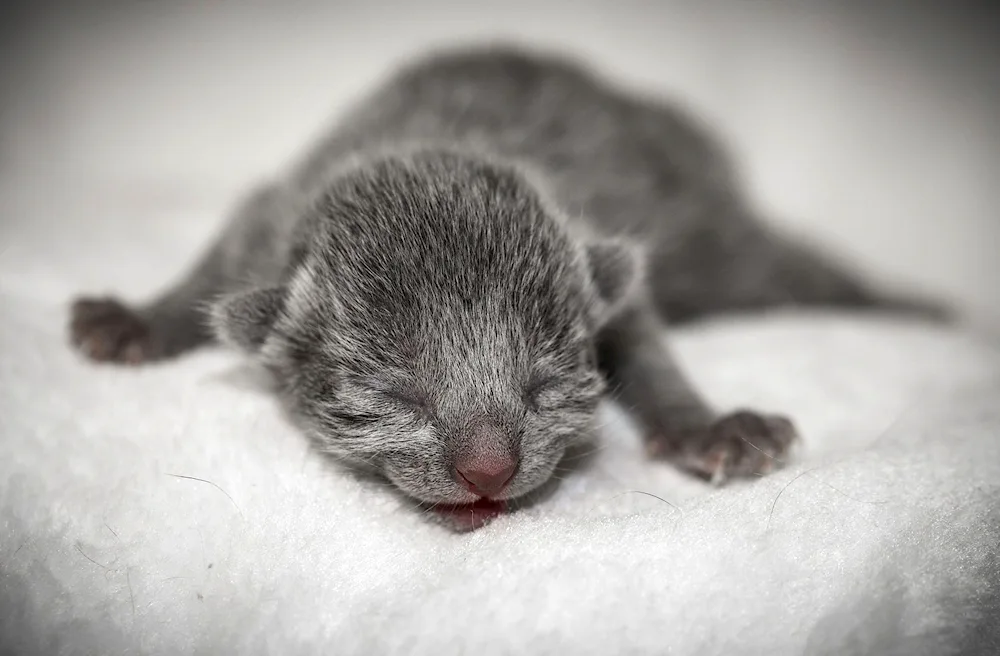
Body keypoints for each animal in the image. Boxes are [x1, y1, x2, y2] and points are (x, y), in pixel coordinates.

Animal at [68, 46, 944, 532]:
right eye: (398, 395)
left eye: (542, 387)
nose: (487, 471)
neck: (431, 148)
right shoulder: (269, 212)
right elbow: (216, 259)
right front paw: (135, 320)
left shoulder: (594, 243)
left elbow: (646, 341)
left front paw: (709, 427)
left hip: (724, 244)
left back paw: (921, 307)